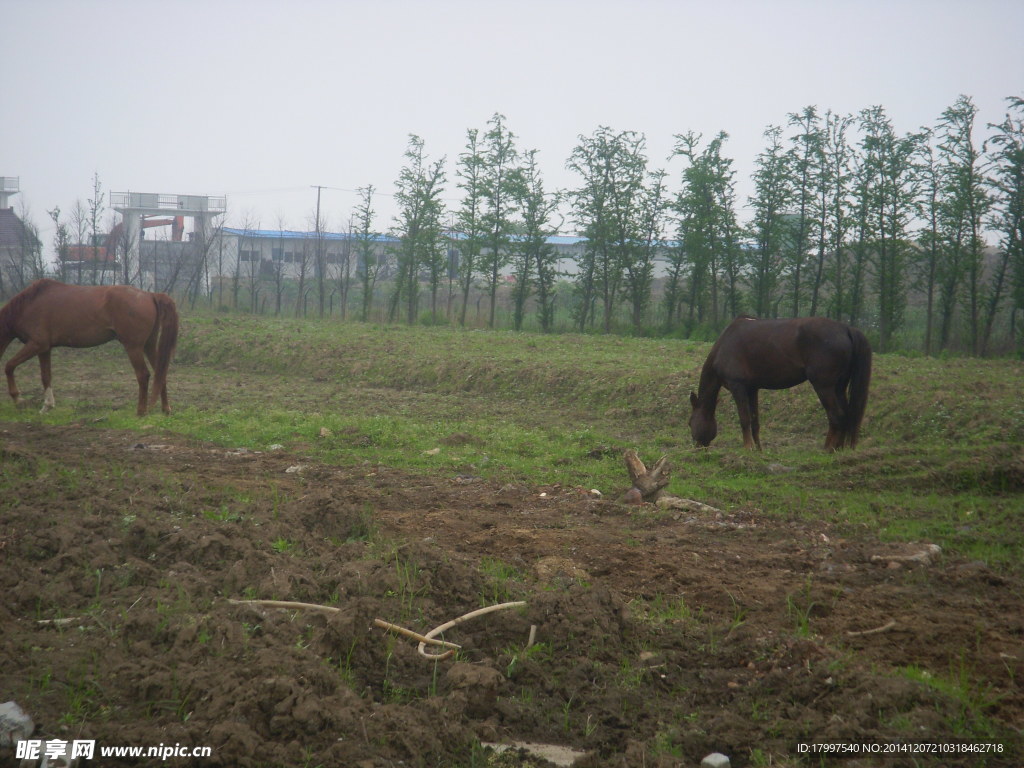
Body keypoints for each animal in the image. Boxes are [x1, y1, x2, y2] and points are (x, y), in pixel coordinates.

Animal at [0, 280, 179, 417]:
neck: (28, 305)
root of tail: (150, 295)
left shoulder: (37, 344)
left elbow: (9, 366)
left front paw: (18, 399)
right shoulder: (45, 349)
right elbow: (46, 377)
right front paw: (47, 406)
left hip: (133, 348)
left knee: (143, 375)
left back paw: (141, 411)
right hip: (149, 346)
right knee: (160, 373)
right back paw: (165, 409)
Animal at [688, 317, 872, 454]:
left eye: (690, 423)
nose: (697, 448)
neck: (724, 345)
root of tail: (846, 329)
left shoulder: (738, 386)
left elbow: (744, 418)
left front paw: (748, 448)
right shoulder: (752, 389)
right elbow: (754, 421)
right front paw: (758, 449)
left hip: (824, 387)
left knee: (837, 416)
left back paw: (828, 449)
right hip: (839, 388)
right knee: (846, 415)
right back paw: (838, 449)